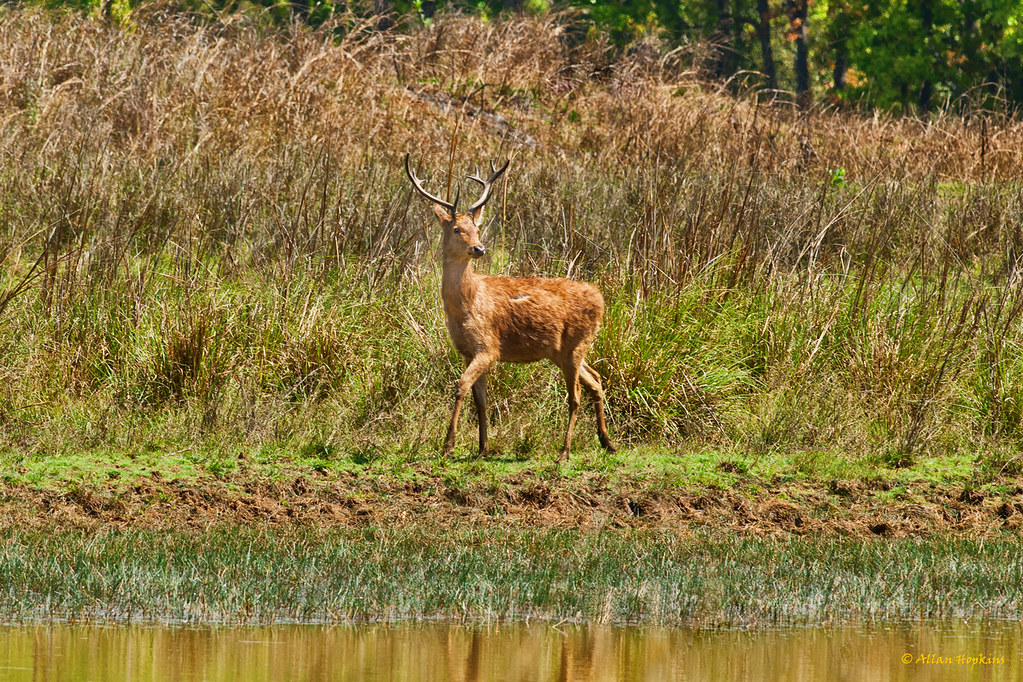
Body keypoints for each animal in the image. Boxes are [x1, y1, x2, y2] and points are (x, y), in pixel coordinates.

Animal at [405, 153, 615, 460]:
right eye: (457, 228)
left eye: (477, 227)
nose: (479, 248)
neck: (466, 305)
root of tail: (600, 298)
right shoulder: (468, 351)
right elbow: (480, 400)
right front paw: (482, 448)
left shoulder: (488, 346)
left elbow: (460, 387)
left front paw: (448, 445)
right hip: (563, 351)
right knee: (596, 379)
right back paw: (607, 441)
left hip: (577, 344)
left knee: (575, 396)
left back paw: (564, 452)